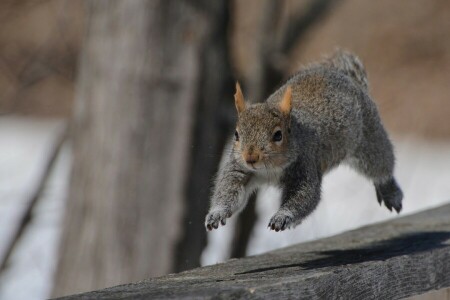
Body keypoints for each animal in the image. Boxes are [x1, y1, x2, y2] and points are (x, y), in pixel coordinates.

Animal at [206, 49, 402, 232]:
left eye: (278, 135)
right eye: (236, 134)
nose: (251, 158)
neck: (269, 170)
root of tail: (346, 77)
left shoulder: (305, 165)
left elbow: (305, 196)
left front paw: (283, 216)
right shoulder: (238, 169)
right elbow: (228, 189)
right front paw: (217, 213)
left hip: (369, 139)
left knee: (381, 166)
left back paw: (390, 191)